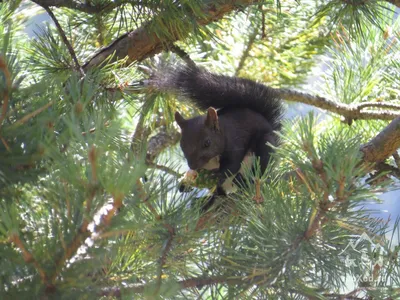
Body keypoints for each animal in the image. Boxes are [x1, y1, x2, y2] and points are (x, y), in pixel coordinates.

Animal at [148, 64, 282, 197]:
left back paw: (244, 181)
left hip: (264, 147)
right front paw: (187, 180)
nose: (193, 165)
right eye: (182, 144)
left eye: (207, 143)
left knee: (259, 169)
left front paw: (217, 175)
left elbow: (232, 165)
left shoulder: (235, 143)